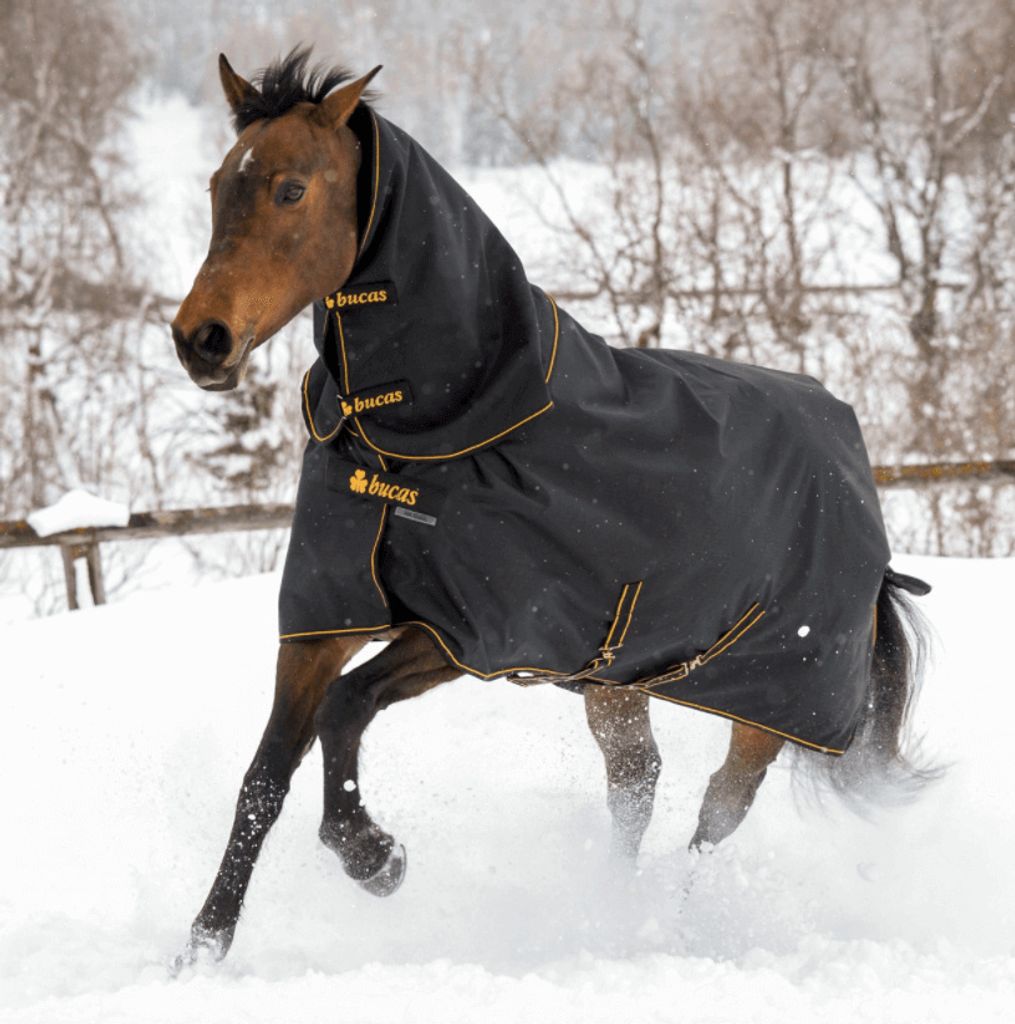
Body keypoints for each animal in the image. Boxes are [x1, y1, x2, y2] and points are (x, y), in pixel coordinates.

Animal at [169, 49, 932, 966]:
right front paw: (201, 948)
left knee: (718, 809)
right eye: (219, 184)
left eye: (290, 189)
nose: (200, 341)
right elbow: (265, 774)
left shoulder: (468, 632)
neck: (425, 435)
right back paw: (609, 913)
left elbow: (345, 709)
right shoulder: (324, 618)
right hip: (617, 681)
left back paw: (672, 925)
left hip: (770, 701)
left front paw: (375, 859)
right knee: (636, 782)